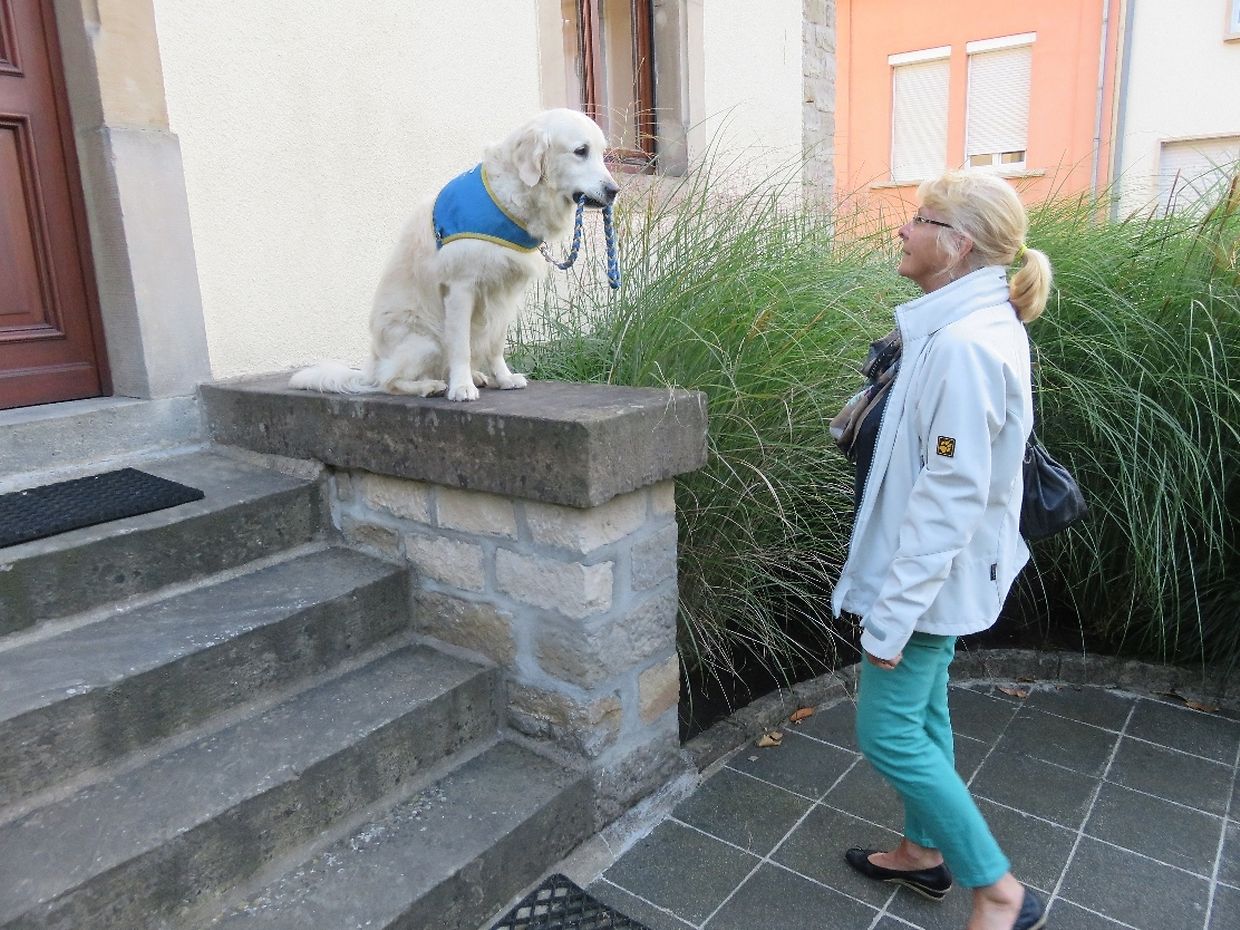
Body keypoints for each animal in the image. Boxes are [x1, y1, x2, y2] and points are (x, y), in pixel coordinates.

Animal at [289, 108, 618, 402]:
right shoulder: (462, 286)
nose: (614, 190)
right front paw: (461, 388)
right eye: (580, 151)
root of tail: (372, 365)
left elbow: (496, 344)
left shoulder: (506, 292)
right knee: (389, 382)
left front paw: (503, 378)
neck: (507, 198)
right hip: (425, 342)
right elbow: (461, 347)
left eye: (602, 153)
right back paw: (430, 386)